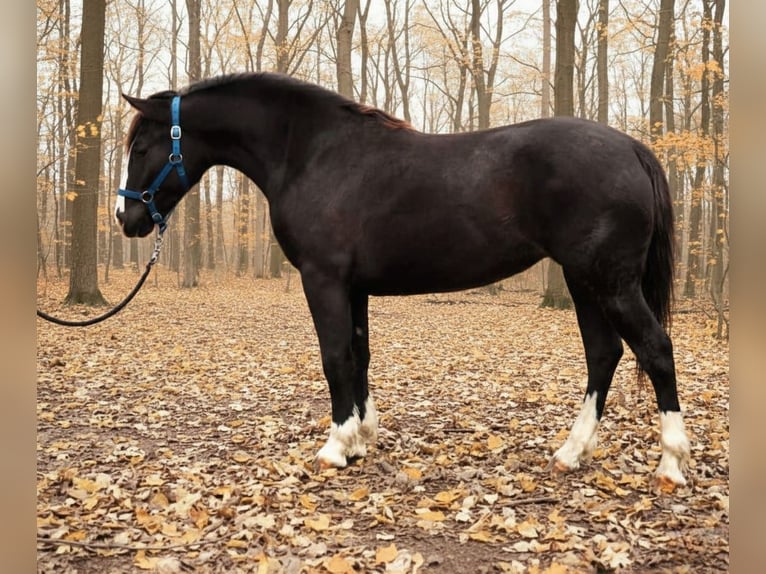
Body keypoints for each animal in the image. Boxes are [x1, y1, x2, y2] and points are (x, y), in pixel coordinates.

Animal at [115, 72, 691, 486]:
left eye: (141, 148)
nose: (127, 218)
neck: (314, 154)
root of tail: (633, 149)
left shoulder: (324, 279)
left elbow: (334, 357)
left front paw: (335, 447)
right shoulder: (354, 287)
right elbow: (360, 354)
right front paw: (362, 438)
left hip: (608, 281)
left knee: (655, 349)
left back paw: (671, 464)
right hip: (582, 281)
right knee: (604, 354)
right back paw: (571, 453)